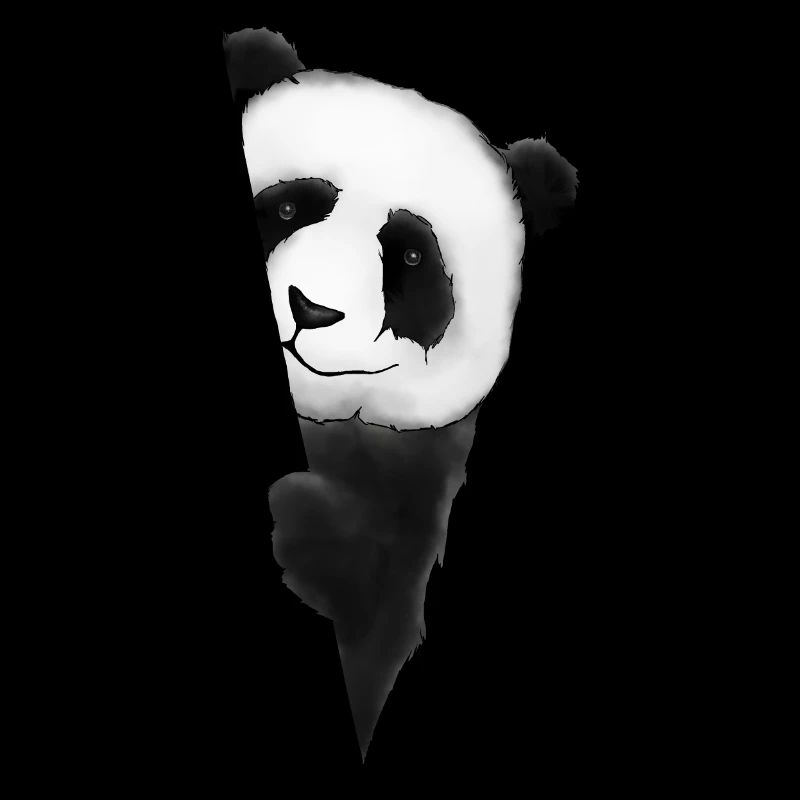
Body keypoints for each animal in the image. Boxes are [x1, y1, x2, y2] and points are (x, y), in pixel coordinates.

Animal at [224, 28, 578, 757]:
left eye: (411, 257)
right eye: (290, 207)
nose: (311, 310)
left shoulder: (413, 476)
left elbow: (370, 593)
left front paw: (299, 510)